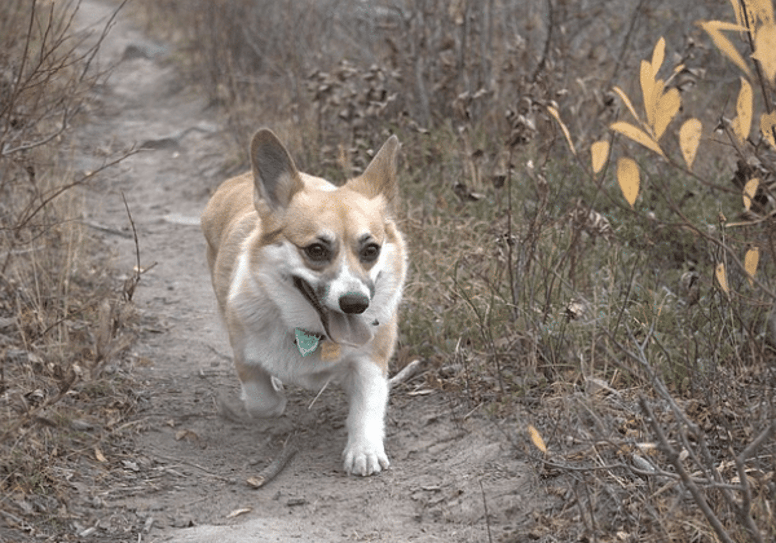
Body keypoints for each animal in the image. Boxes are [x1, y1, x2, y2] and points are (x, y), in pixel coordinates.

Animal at [200, 127, 406, 476]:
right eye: (316, 250)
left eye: (371, 250)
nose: (355, 304)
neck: (311, 333)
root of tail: (239, 178)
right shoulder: (244, 353)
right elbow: (263, 402)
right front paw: (274, 396)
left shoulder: (371, 359)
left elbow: (367, 405)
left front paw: (363, 451)